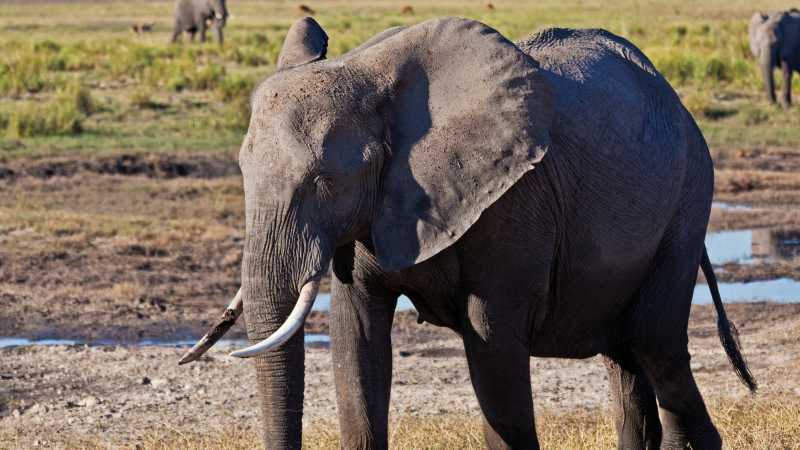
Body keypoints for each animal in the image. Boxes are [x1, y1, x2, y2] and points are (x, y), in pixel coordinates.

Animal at [179, 17, 757, 450]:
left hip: (687, 201)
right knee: (629, 360)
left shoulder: (510, 203)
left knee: (656, 343)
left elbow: (494, 349)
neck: (372, 75)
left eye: (323, 180)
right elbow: (356, 345)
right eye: (242, 170)